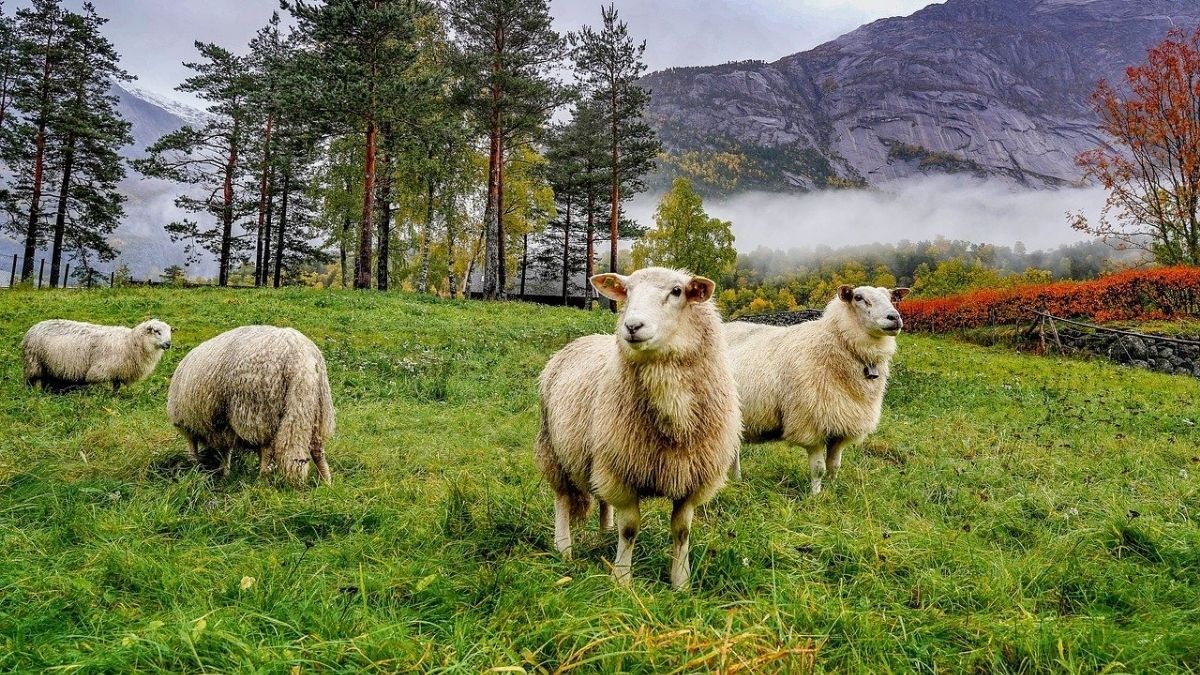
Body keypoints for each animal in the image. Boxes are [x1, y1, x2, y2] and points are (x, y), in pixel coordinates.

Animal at [22, 318, 172, 392]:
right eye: (157, 331)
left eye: (170, 331)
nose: (168, 344)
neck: (131, 342)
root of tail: (33, 328)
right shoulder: (103, 369)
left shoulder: (118, 372)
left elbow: (116, 387)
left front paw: (115, 397)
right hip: (33, 362)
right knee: (30, 381)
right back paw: (31, 393)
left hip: (47, 365)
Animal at [167, 325, 334, 486]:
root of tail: (299, 358)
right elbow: (226, 450)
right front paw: (225, 473)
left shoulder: (189, 425)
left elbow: (197, 449)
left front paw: (198, 468)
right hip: (316, 407)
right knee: (317, 448)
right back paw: (326, 481)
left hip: (260, 408)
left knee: (267, 449)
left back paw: (262, 480)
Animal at [535, 267, 741, 590]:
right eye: (627, 291)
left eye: (677, 291)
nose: (632, 326)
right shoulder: (623, 475)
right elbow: (630, 529)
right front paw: (622, 580)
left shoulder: (691, 479)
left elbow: (681, 532)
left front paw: (681, 583)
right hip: (554, 451)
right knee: (562, 500)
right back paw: (564, 548)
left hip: (600, 455)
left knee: (601, 500)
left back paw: (603, 533)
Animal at [723, 285, 910, 494]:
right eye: (858, 297)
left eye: (892, 297)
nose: (894, 317)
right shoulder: (811, 424)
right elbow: (819, 469)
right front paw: (816, 495)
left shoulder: (841, 425)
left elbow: (835, 465)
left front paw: (833, 490)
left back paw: (737, 479)